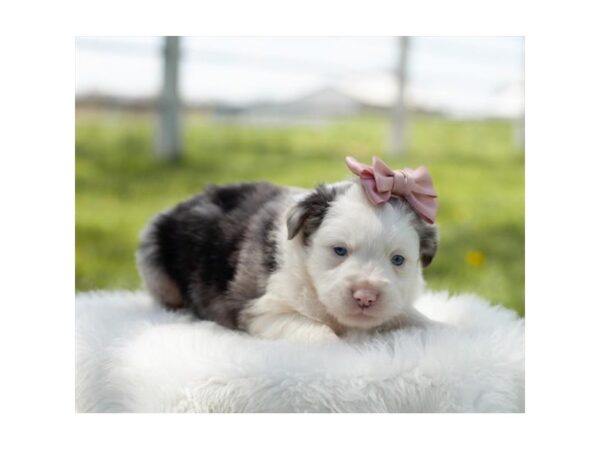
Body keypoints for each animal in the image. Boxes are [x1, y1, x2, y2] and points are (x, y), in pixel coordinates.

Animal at [138, 157, 438, 342]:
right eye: (339, 251)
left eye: (398, 259)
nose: (365, 297)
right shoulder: (262, 311)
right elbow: (323, 337)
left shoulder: (397, 303)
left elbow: (415, 318)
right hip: (155, 261)